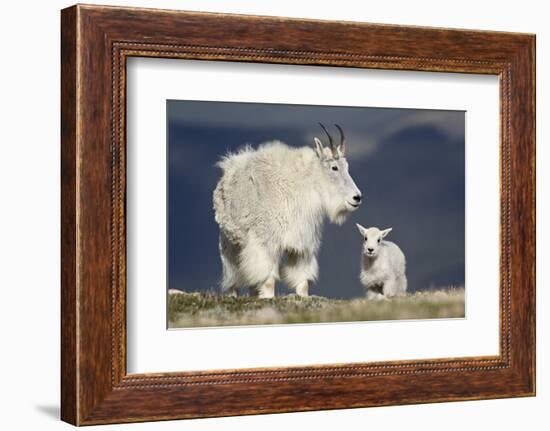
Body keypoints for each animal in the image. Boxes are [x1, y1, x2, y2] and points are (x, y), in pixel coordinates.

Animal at [213, 125, 364, 298]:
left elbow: (302, 279)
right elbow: (268, 278)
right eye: (334, 167)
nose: (357, 197)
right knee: (233, 275)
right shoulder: (266, 242)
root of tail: (228, 168)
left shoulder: (302, 245)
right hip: (229, 242)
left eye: (347, 167)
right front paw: (268, 297)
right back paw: (233, 294)